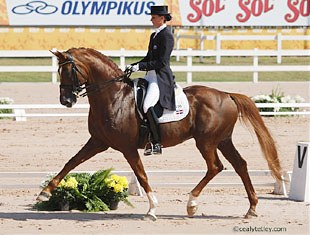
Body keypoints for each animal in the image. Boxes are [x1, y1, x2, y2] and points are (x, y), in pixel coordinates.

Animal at [37, 47, 282, 220]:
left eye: (69, 70)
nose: (66, 101)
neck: (114, 97)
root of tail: (227, 94)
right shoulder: (98, 141)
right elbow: (71, 162)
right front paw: (45, 192)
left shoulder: (126, 147)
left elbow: (142, 175)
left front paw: (152, 209)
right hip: (223, 140)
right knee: (240, 165)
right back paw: (251, 208)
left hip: (206, 142)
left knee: (215, 167)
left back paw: (191, 204)